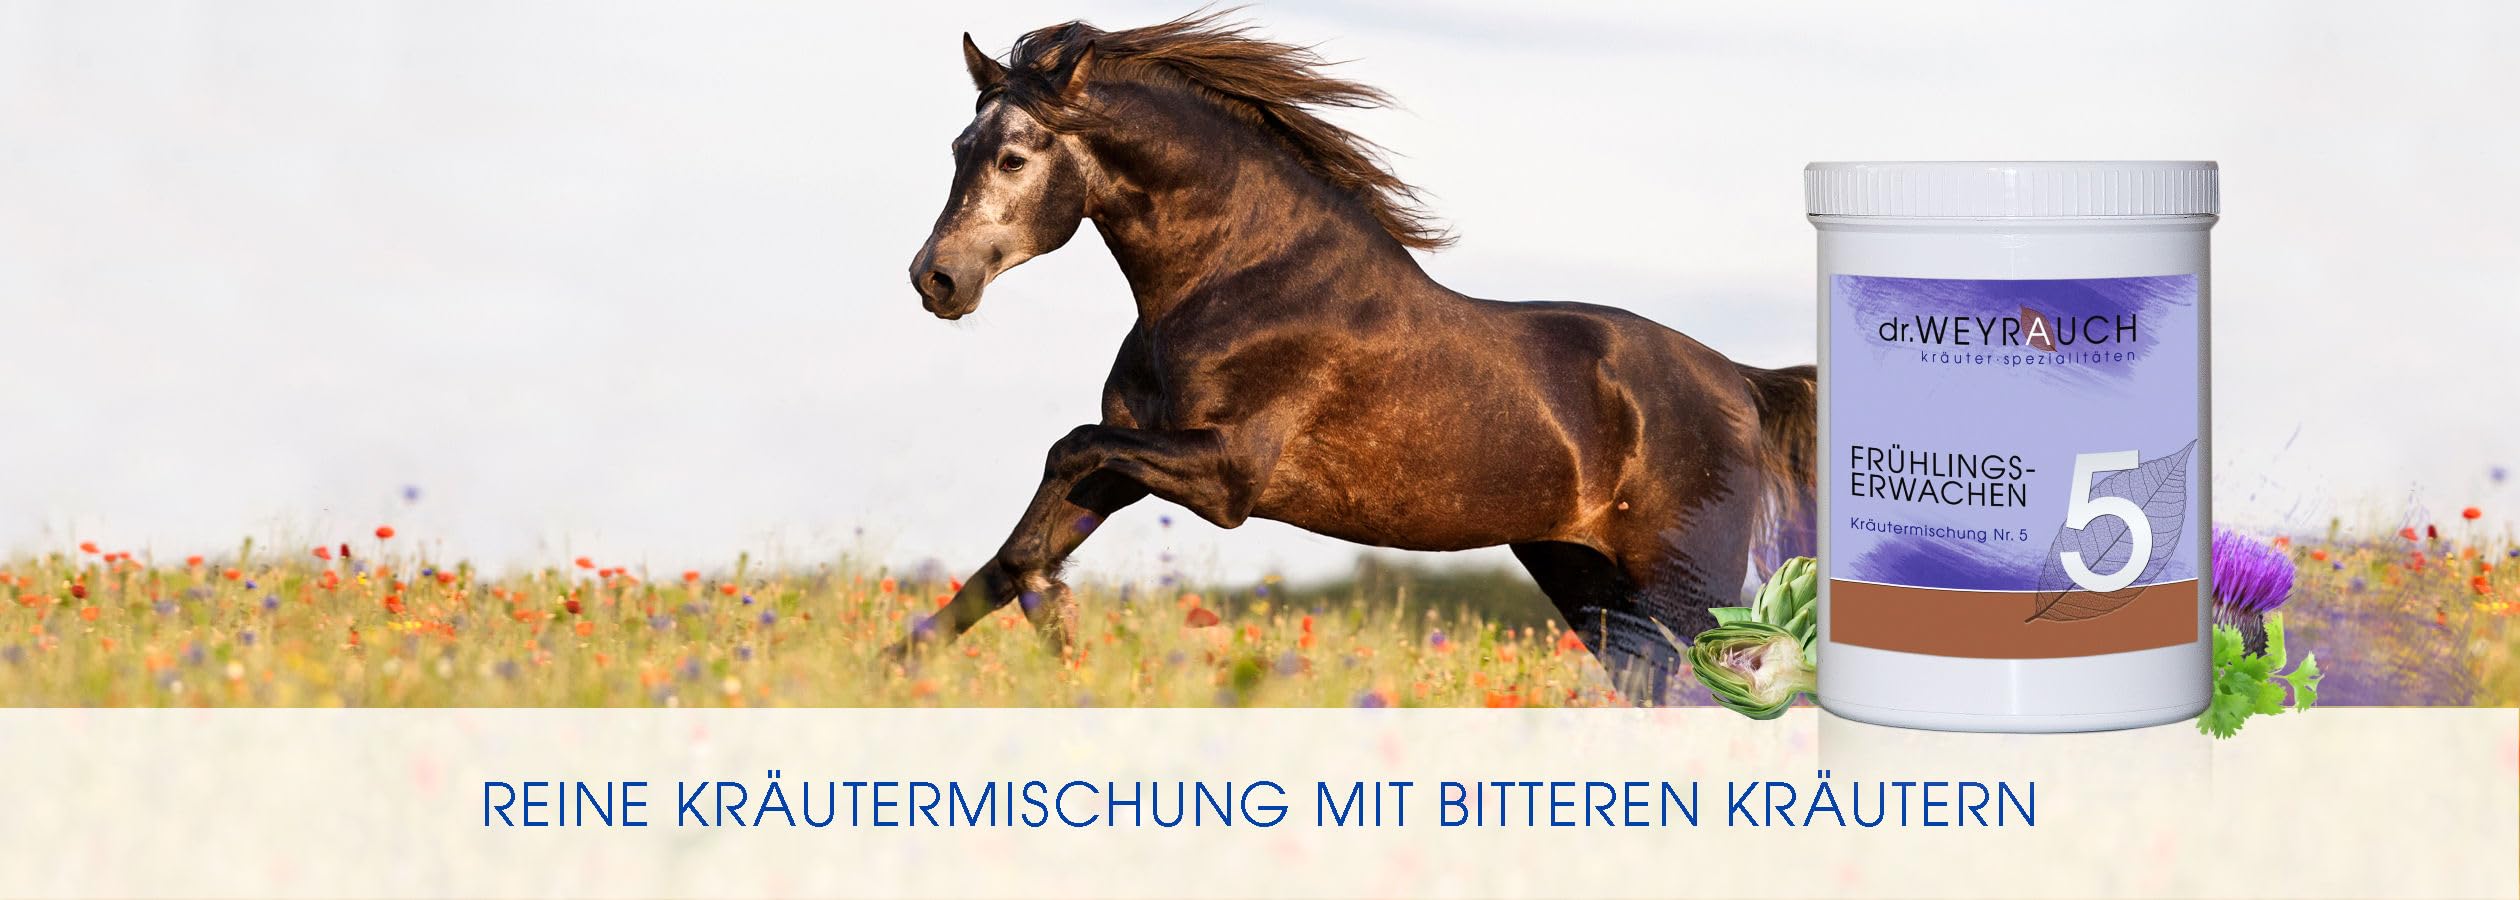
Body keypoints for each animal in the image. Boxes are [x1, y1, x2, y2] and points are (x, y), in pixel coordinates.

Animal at [898, 13, 1816, 700]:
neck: (1241, 277)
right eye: (957, 149)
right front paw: (921, 656)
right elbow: (1010, 553)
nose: (936, 279)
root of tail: (1743, 384)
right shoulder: (1134, 469)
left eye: (1014, 156)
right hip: (1590, 580)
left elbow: (1069, 448)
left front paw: (1056, 619)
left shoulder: (1226, 477)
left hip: (1681, 582)